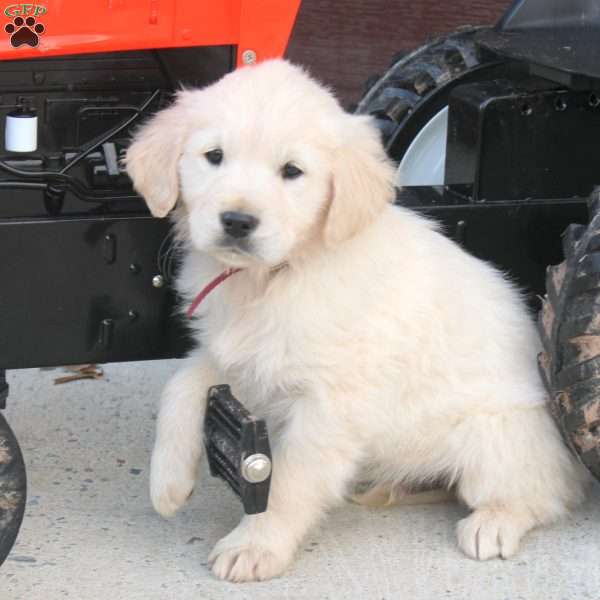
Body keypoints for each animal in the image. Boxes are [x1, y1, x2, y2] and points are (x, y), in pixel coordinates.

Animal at [124, 59, 588, 580]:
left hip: (495, 436)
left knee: (547, 491)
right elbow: (180, 384)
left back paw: (494, 522)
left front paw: (256, 544)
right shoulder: (239, 353)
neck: (279, 275)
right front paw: (167, 483)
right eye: (214, 156)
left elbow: (289, 480)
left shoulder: (330, 404)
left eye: (292, 171)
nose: (238, 222)